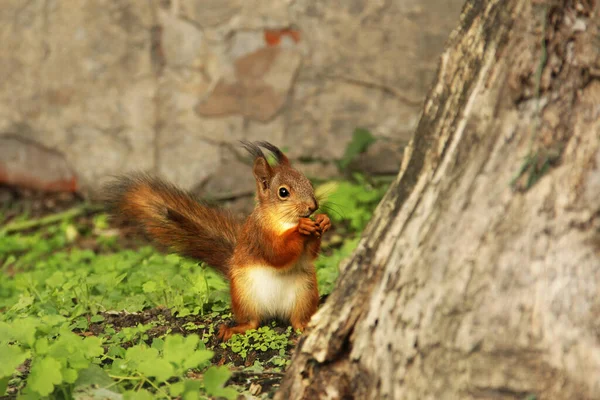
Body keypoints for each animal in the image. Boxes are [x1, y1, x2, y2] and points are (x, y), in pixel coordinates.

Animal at [108, 141, 332, 340]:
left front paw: (323, 221)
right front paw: (301, 229)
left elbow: (310, 254)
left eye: (309, 182)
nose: (313, 206)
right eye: (283, 192)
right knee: (252, 322)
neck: (284, 222)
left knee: (297, 320)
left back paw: (305, 326)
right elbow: (276, 254)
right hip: (244, 296)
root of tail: (275, 310)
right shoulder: (258, 234)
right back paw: (234, 329)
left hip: (305, 292)